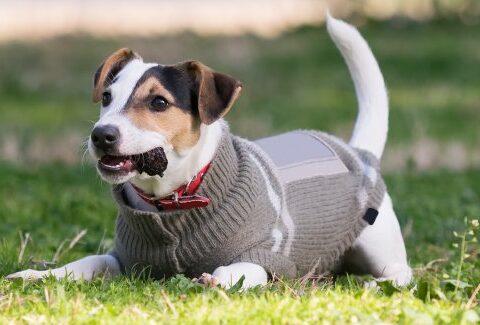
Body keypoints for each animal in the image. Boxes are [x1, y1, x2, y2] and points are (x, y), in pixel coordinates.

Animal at [7, 15, 412, 288]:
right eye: (106, 97)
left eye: (158, 102)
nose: (101, 135)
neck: (173, 201)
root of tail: (356, 150)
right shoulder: (122, 259)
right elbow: (87, 262)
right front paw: (39, 273)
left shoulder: (263, 256)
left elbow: (238, 269)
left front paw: (217, 279)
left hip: (379, 244)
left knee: (402, 273)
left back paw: (377, 283)